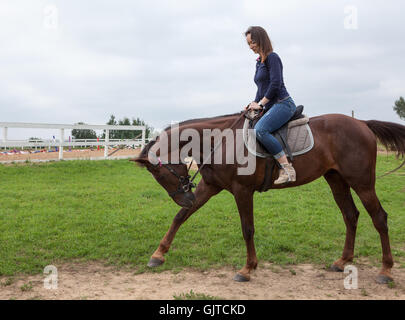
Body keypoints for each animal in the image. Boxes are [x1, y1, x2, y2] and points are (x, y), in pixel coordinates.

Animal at [133, 111, 404, 284]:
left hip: (362, 183)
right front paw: (158, 254)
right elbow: (181, 217)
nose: (183, 197)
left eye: (160, 174)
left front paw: (247, 268)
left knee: (379, 218)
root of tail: (362, 123)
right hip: (336, 180)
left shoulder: (242, 190)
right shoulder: (209, 186)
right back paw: (343, 260)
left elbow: (247, 229)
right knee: (350, 215)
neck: (219, 140)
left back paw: (386, 271)